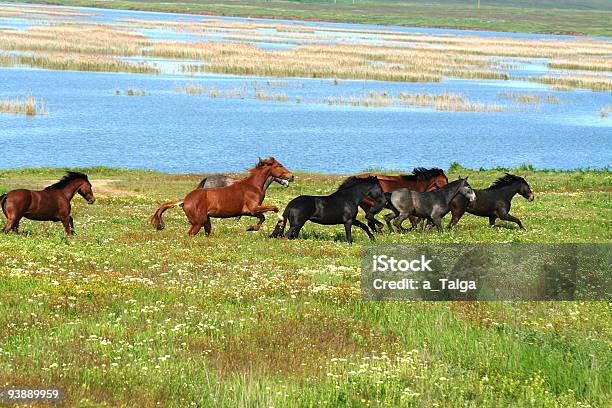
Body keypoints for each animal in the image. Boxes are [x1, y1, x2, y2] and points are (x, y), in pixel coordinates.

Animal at [149, 158, 292, 237]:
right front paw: (280, 220)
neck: (253, 186)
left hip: (206, 221)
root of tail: (185, 200)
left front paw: (251, 228)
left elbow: (262, 218)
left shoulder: (250, 212)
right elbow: (274, 208)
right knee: (190, 234)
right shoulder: (254, 208)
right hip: (198, 223)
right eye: (279, 165)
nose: (291, 176)